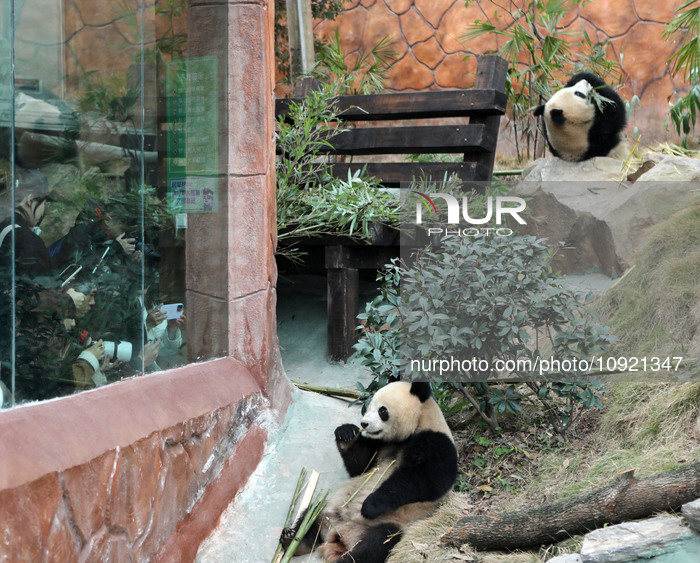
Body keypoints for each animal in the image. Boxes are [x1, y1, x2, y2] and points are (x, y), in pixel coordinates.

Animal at [281, 381, 458, 563]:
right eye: (369, 406)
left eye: (382, 410)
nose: (364, 424)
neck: (419, 422)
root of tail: (340, 535)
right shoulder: (382, 444)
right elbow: (362, 466)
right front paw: (346, 434)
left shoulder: (436, 441)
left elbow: (426, 480)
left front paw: (370, 505)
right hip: (330, 509)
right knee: (312, 514)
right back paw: (293, 540)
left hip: (388, 523)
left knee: (376, 544)